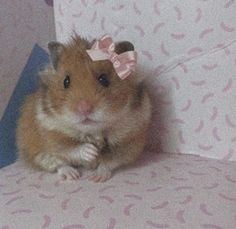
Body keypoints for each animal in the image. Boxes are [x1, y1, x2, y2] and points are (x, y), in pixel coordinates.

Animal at [16, 35, 151, 182]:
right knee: (59, 164)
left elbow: (109, 162)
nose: (84, 109)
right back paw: (72, 175)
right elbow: (71, 148)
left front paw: (97, 177)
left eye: (104, 79)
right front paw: (91, 152)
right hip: (38, 153)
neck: (92, 131)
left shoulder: (129, 143)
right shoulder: (51, 134)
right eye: (66, 81)